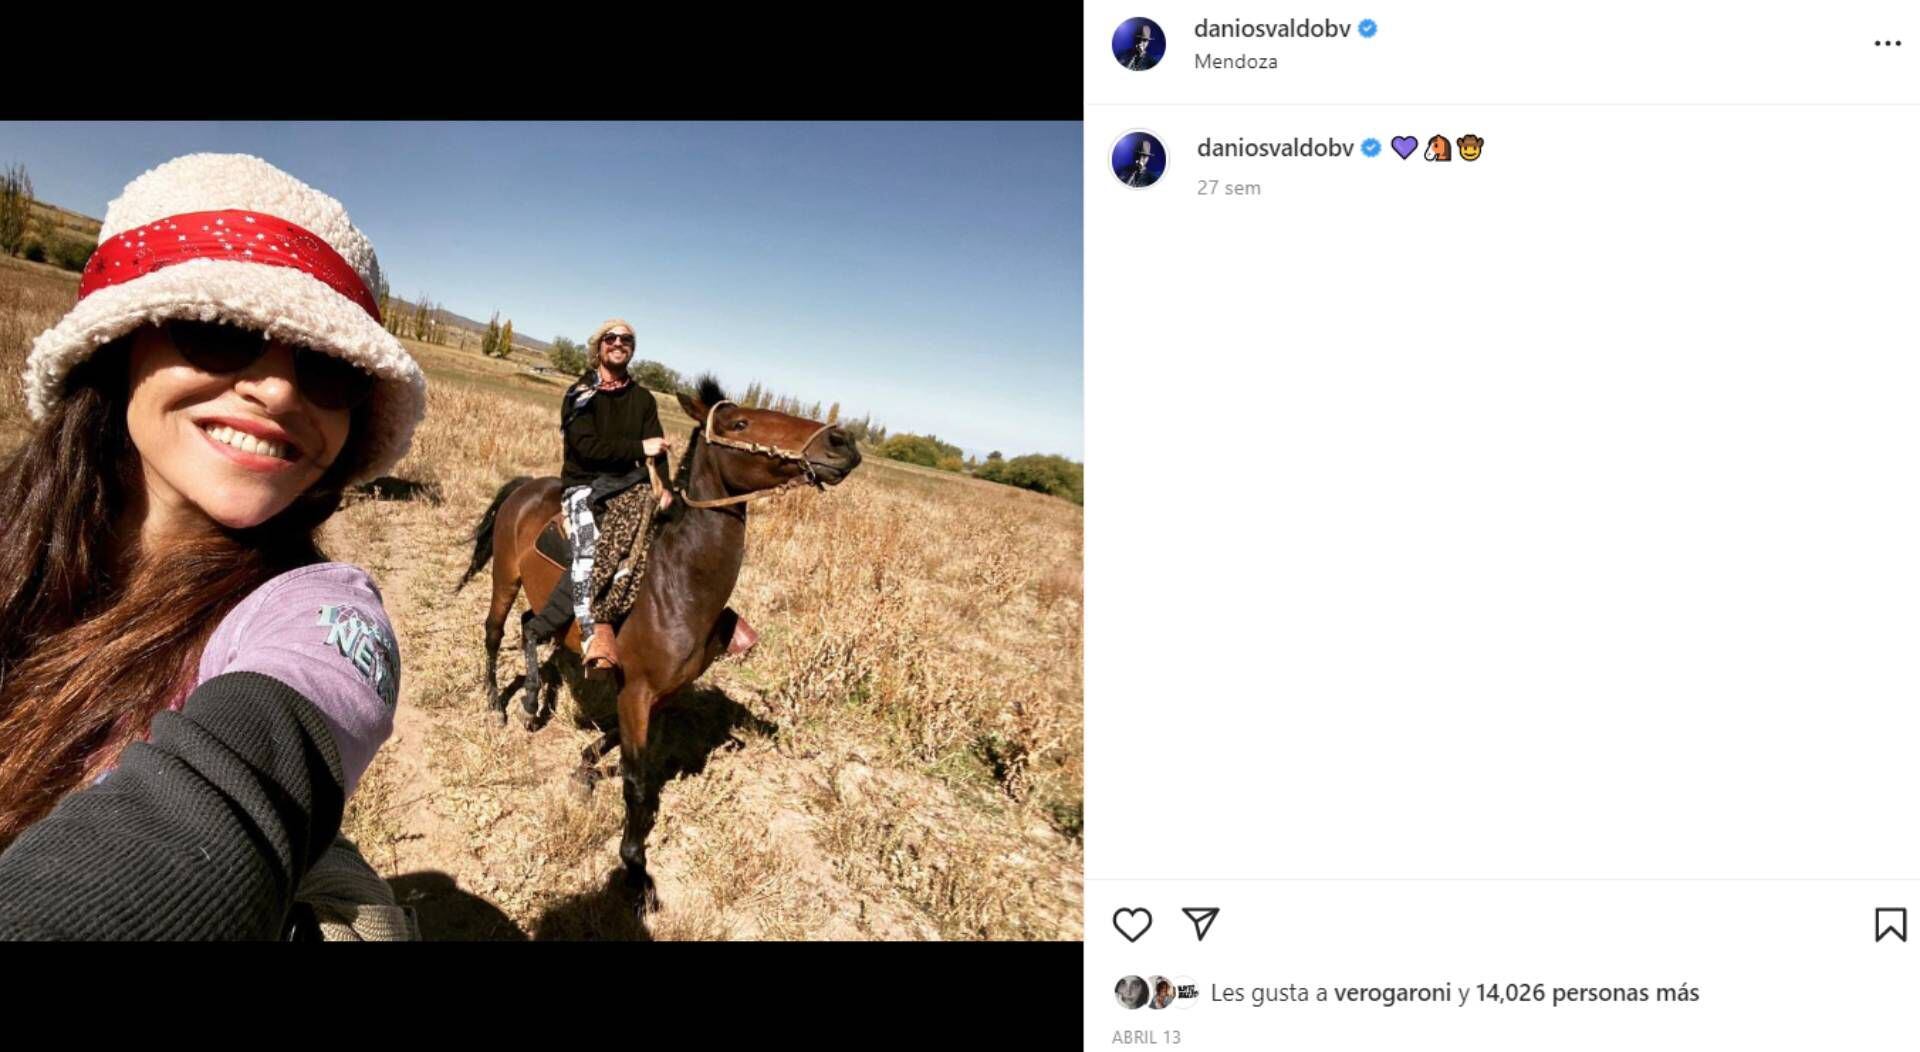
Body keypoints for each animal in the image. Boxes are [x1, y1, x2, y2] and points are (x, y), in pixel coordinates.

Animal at [454, 376, 861, 910]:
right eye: (740, 422)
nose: (842, 443)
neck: (676, 582)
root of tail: (525, 486)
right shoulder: (638, 691)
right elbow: (636, 781)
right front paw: (634, 868)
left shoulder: (660, 693)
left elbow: (613, 743)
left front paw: (584, 771)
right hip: (505, 576)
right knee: (495, 630)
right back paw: (500, 705)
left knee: (530, 626)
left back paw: (532, 697)